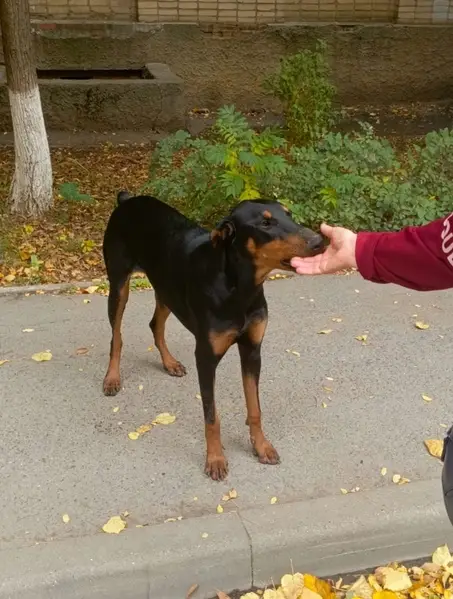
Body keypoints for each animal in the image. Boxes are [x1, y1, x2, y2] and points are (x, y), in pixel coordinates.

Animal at [102, 193, 324, 480]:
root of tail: (127, 199)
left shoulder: (252, 350)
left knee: (155, 324)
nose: (319, 241)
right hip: (119, 285)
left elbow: (255, 407)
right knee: (116, 336)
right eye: (265, 223)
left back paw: (169, 363)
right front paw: (216, 459)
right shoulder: (206, 358)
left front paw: (261, 446)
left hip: (167, 290)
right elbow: (212, 416)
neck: (240, 288)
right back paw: (112, 377)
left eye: (289, 214)